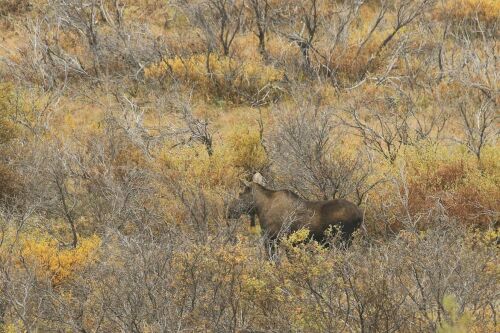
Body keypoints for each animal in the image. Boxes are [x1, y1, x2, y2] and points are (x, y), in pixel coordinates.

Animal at [228, 172, 364, 245]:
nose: (229, 211)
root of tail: (360, 214)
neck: (261, 208)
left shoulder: (272, 239)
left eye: (240, 193)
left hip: (343, 240)